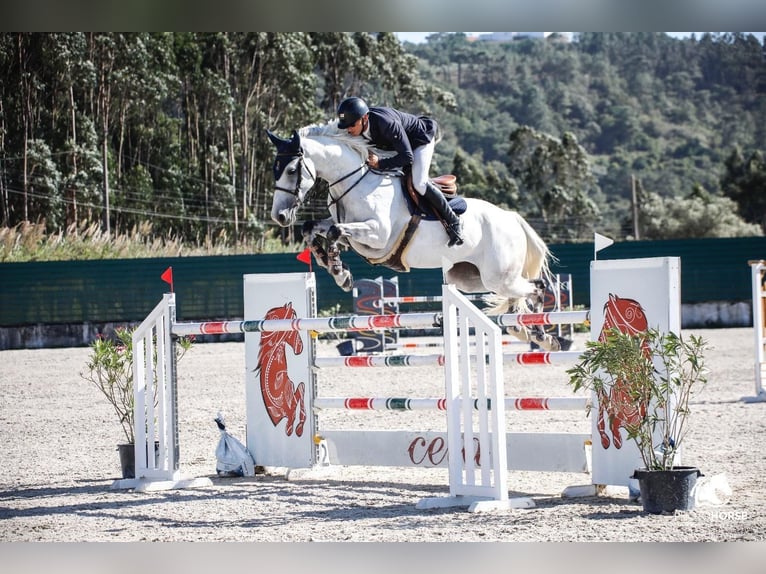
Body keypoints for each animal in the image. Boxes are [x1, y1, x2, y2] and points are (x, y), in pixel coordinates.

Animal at [256, 304, 308, 438]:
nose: (300, 347)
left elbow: (301, 388)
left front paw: (298, 428)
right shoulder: (290, 405)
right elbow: (301, 388)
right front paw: (297, 428)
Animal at [268, 121, 572, 354]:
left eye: (292, 170)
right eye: (275, 169)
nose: (279, 216)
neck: (356, 183)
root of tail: (512, 218)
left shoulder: (378, 236)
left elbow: (335, 232)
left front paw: (340, 272)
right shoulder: (348, 228)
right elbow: (313, 229)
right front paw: (332, 264)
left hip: (499, 277)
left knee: (537, 288)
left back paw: (545, 335)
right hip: (472, 278)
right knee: (517, 300)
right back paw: (530, 333)